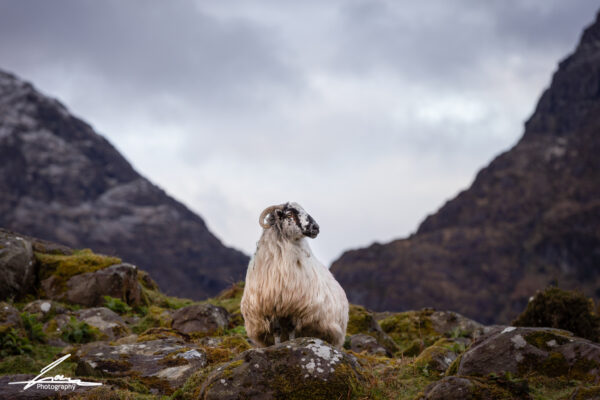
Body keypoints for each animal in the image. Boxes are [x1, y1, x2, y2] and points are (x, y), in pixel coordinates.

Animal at [240, 202, 350, 348]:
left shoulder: (295, 307)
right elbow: (276, 331)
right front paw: (277, 345)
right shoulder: (272, 308)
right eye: (289, 214)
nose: (316, 227)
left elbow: (291, 330)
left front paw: (292, 343)